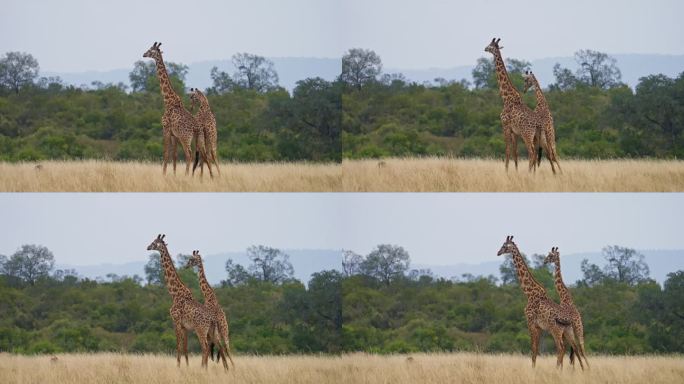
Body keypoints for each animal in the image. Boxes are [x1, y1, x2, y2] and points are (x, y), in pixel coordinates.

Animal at [142, 41, 219, 179]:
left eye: (150, 50)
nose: (143, 54)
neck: (168, 101)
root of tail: (196, 127)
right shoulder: (175, 135)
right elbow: (174, 155)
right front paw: (173, 174)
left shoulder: (166, 128)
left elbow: (166, 153)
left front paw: (164, 174)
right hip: (199, 138)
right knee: (204, 155)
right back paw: (209, 176)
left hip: (186, 137)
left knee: (189, 154)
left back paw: (188, 175)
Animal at [146, 232, 234, 370]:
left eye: (154, 242)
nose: (147, 247)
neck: (175, 294)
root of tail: (212, 319)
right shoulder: (185, 326)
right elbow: (185, 348)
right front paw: (186, 367)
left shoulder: (176, 321)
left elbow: (178, 346)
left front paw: (178, 367)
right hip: (213, 331)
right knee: (221, 347)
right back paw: (225, 368)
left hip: (201, 330)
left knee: (206, 347)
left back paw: (206, 368)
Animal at [484, 38, 564, 174]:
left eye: (490, 45)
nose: (484, 48)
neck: (507, 98)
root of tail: (538, 124)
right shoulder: (515, 132)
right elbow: (515, 153)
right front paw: (515, 172)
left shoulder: (505, 126)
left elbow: (507, 151)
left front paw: (506, 172)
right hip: (537, 137)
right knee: (546, 153)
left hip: (529, 135)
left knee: (534, 152)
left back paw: (531, 173)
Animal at [496, 234, 588, 368]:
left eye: (504, 246)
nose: (498, 252)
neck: (529, 293)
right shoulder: (539, 327)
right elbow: (537, 349)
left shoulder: (530, 322)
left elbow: (533, 349)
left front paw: (533, 369)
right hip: (567, 331)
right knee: (573, 348)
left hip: (558, 329)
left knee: (564, 347)